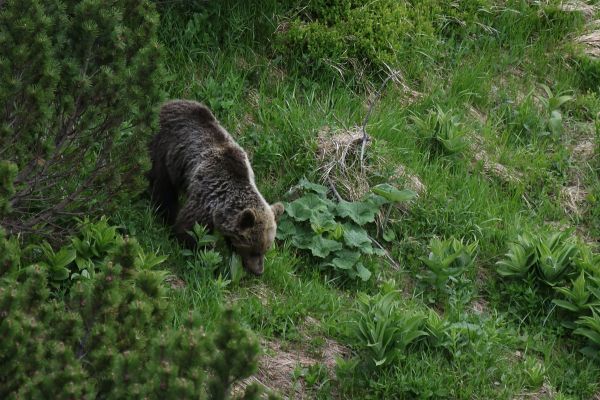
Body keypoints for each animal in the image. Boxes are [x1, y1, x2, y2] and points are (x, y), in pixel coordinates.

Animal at [148, 99, 284, 276]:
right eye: (254, 250)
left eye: (266, 249)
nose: (258, 271)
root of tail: (170, 103)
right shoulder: (205, 197)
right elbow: (192, 229)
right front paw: (202, 255)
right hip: (169, 151)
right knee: (163, 185)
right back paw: (164, 212)